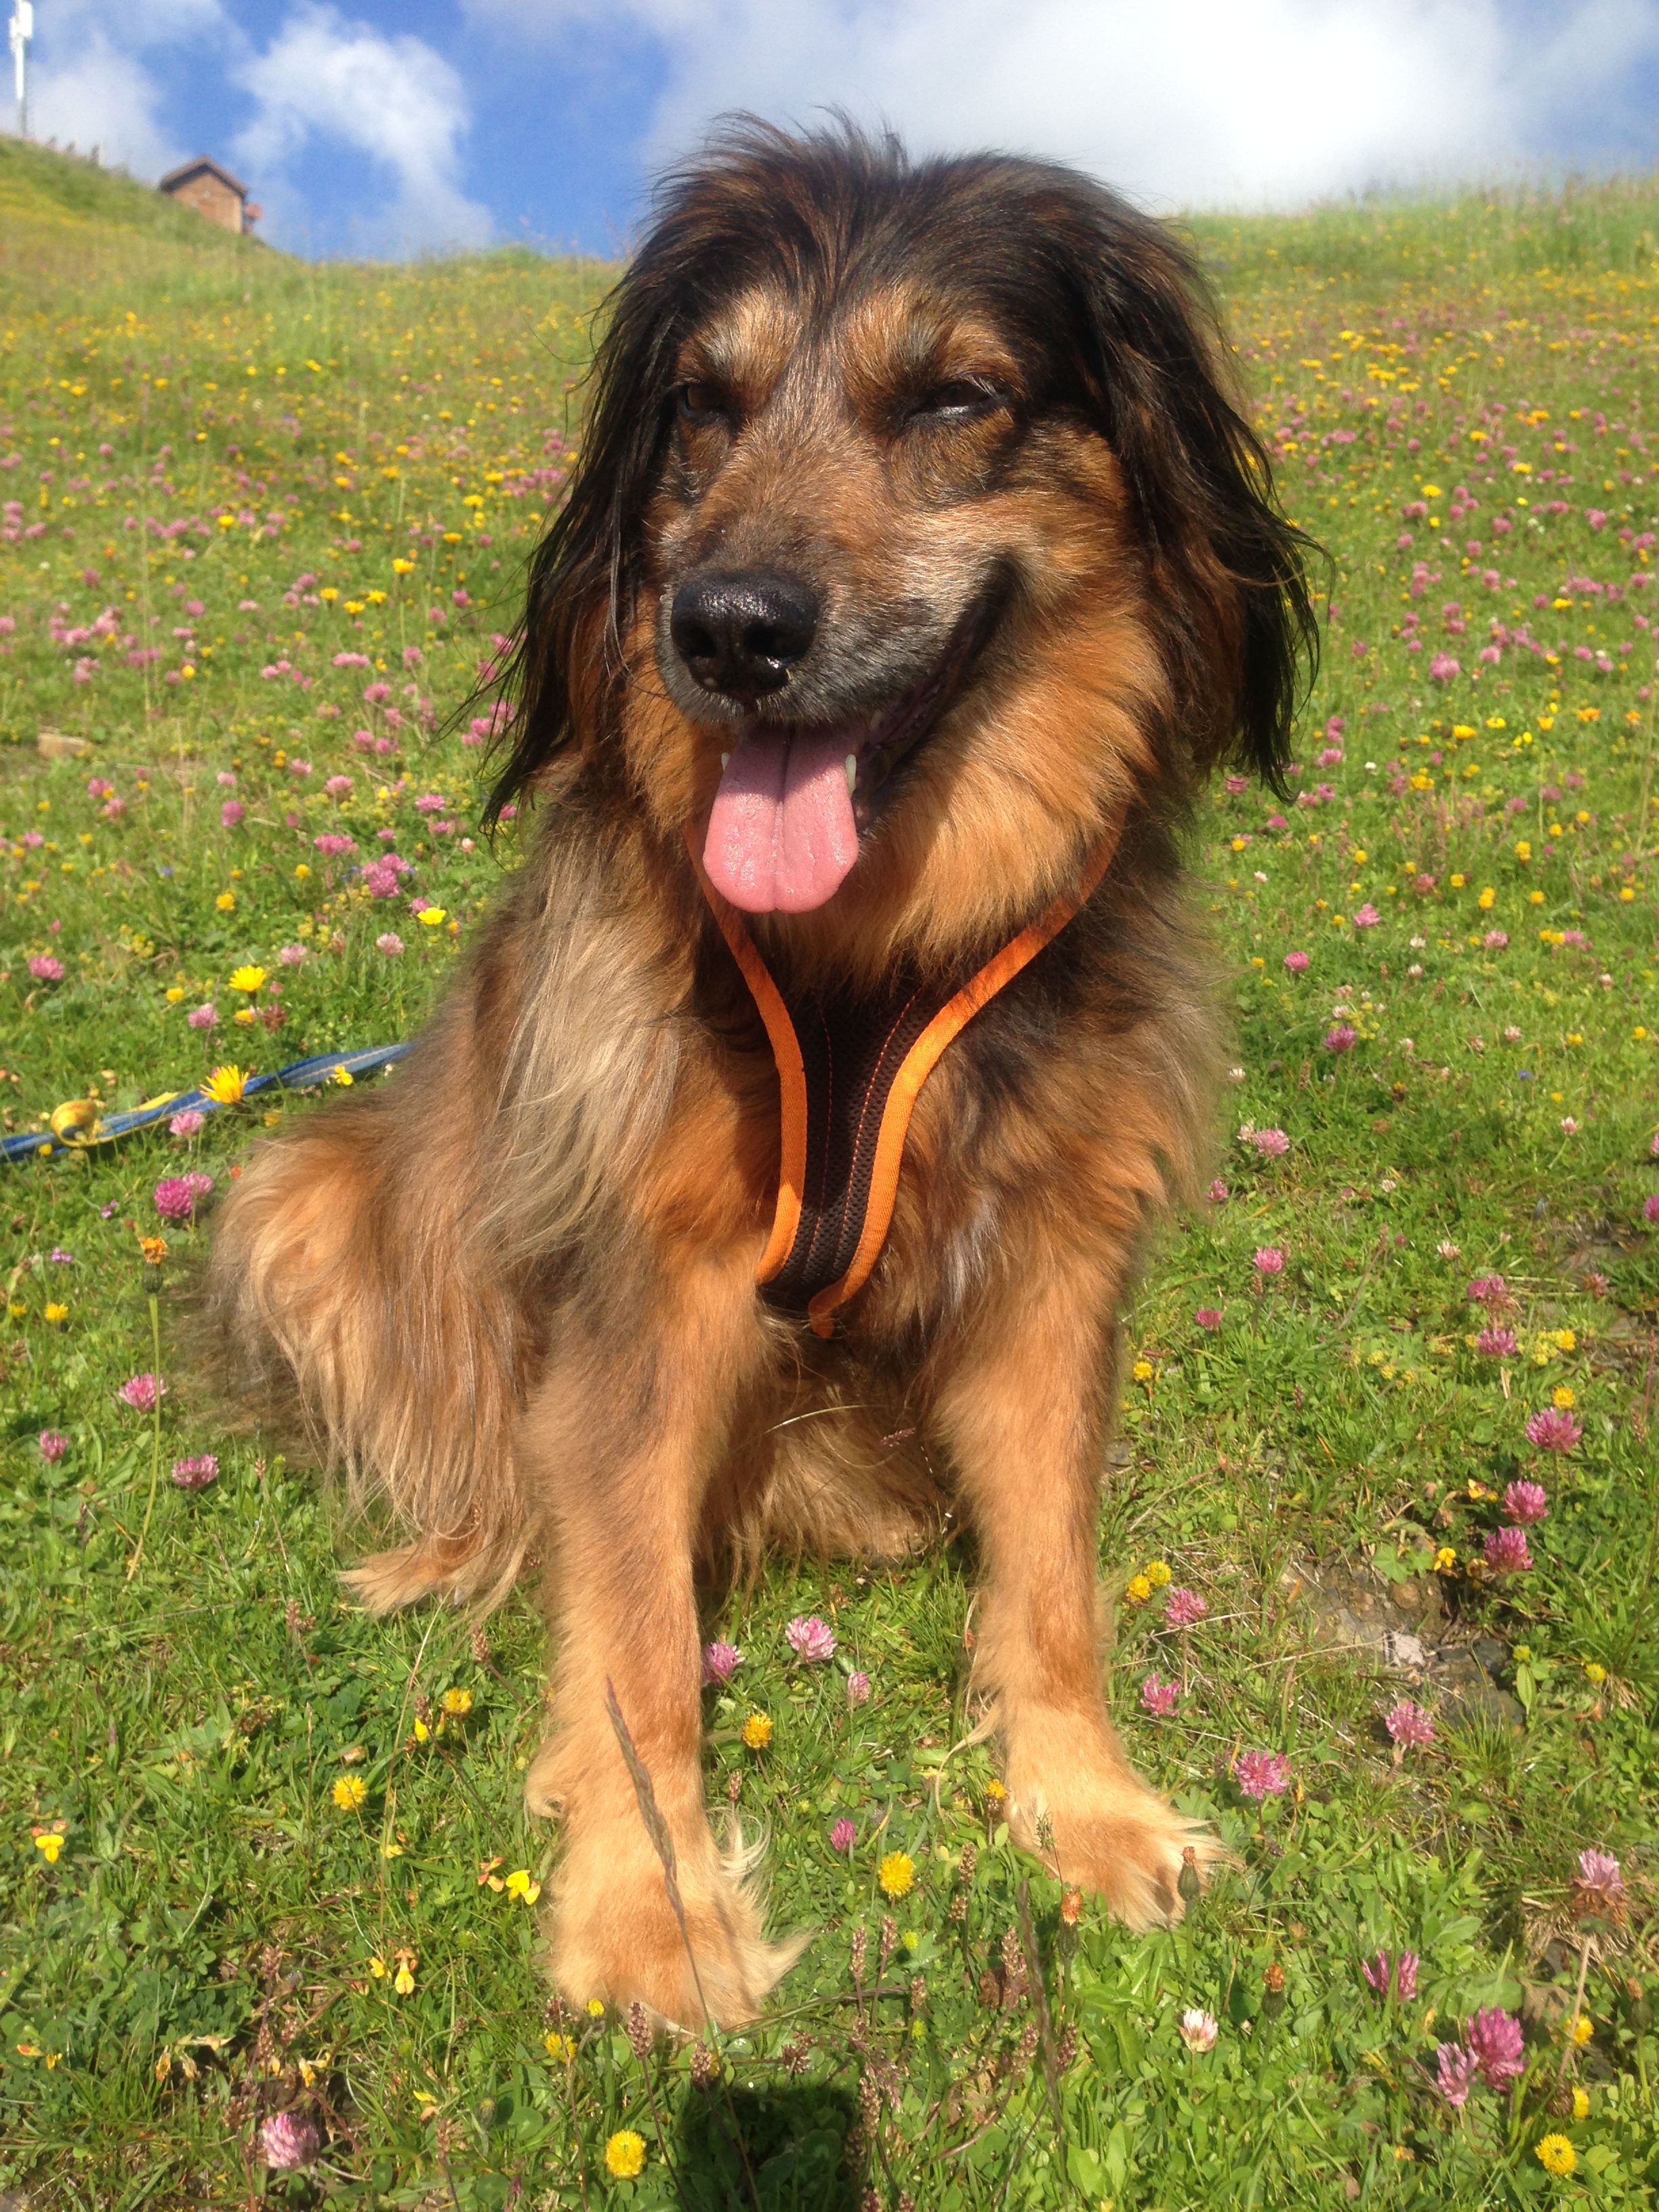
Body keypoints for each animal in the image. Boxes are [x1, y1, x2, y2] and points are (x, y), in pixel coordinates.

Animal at [207, 120, 1315, 2027]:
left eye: (954, 397)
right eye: (703, 409)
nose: (724, 630)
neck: (869, 957)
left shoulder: (1051, 1259)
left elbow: (1052, 1583)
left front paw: (1084, 1805)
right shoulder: (643, 1281)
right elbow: (636, 1633)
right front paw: (644, 1911)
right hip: (298, 1194)